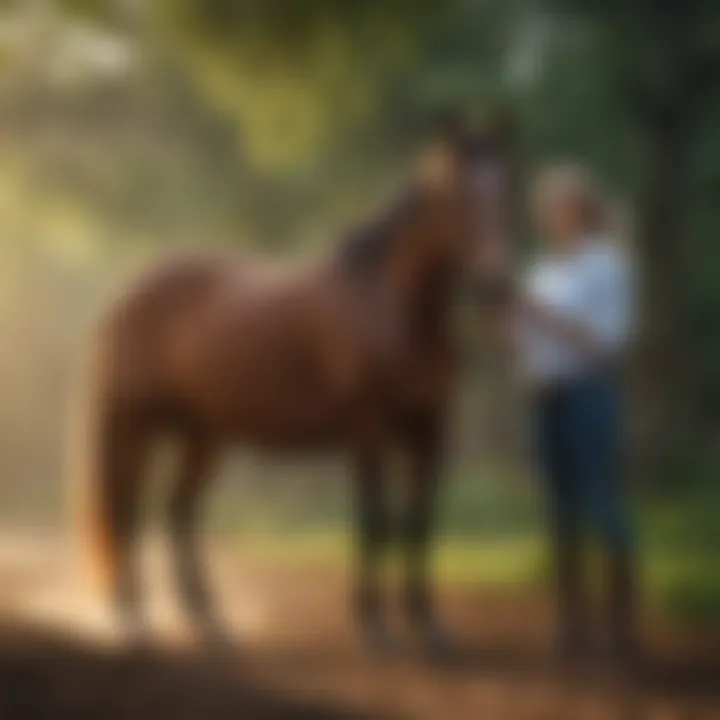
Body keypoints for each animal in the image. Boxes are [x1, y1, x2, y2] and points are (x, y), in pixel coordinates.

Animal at [71, 121, 512, 656]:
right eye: (452, 195)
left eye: (502, 191)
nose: (496, 282)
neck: (393, 309)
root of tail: (127, 295)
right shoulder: (368, 430)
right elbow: (375, 522)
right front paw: (376, 629)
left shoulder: (431, 431)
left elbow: (417, 525)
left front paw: (431, 630)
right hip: (137, 424)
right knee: (127, 509)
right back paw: (136, 623)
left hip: (203, 434)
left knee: (178, 513)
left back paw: (211, 624)